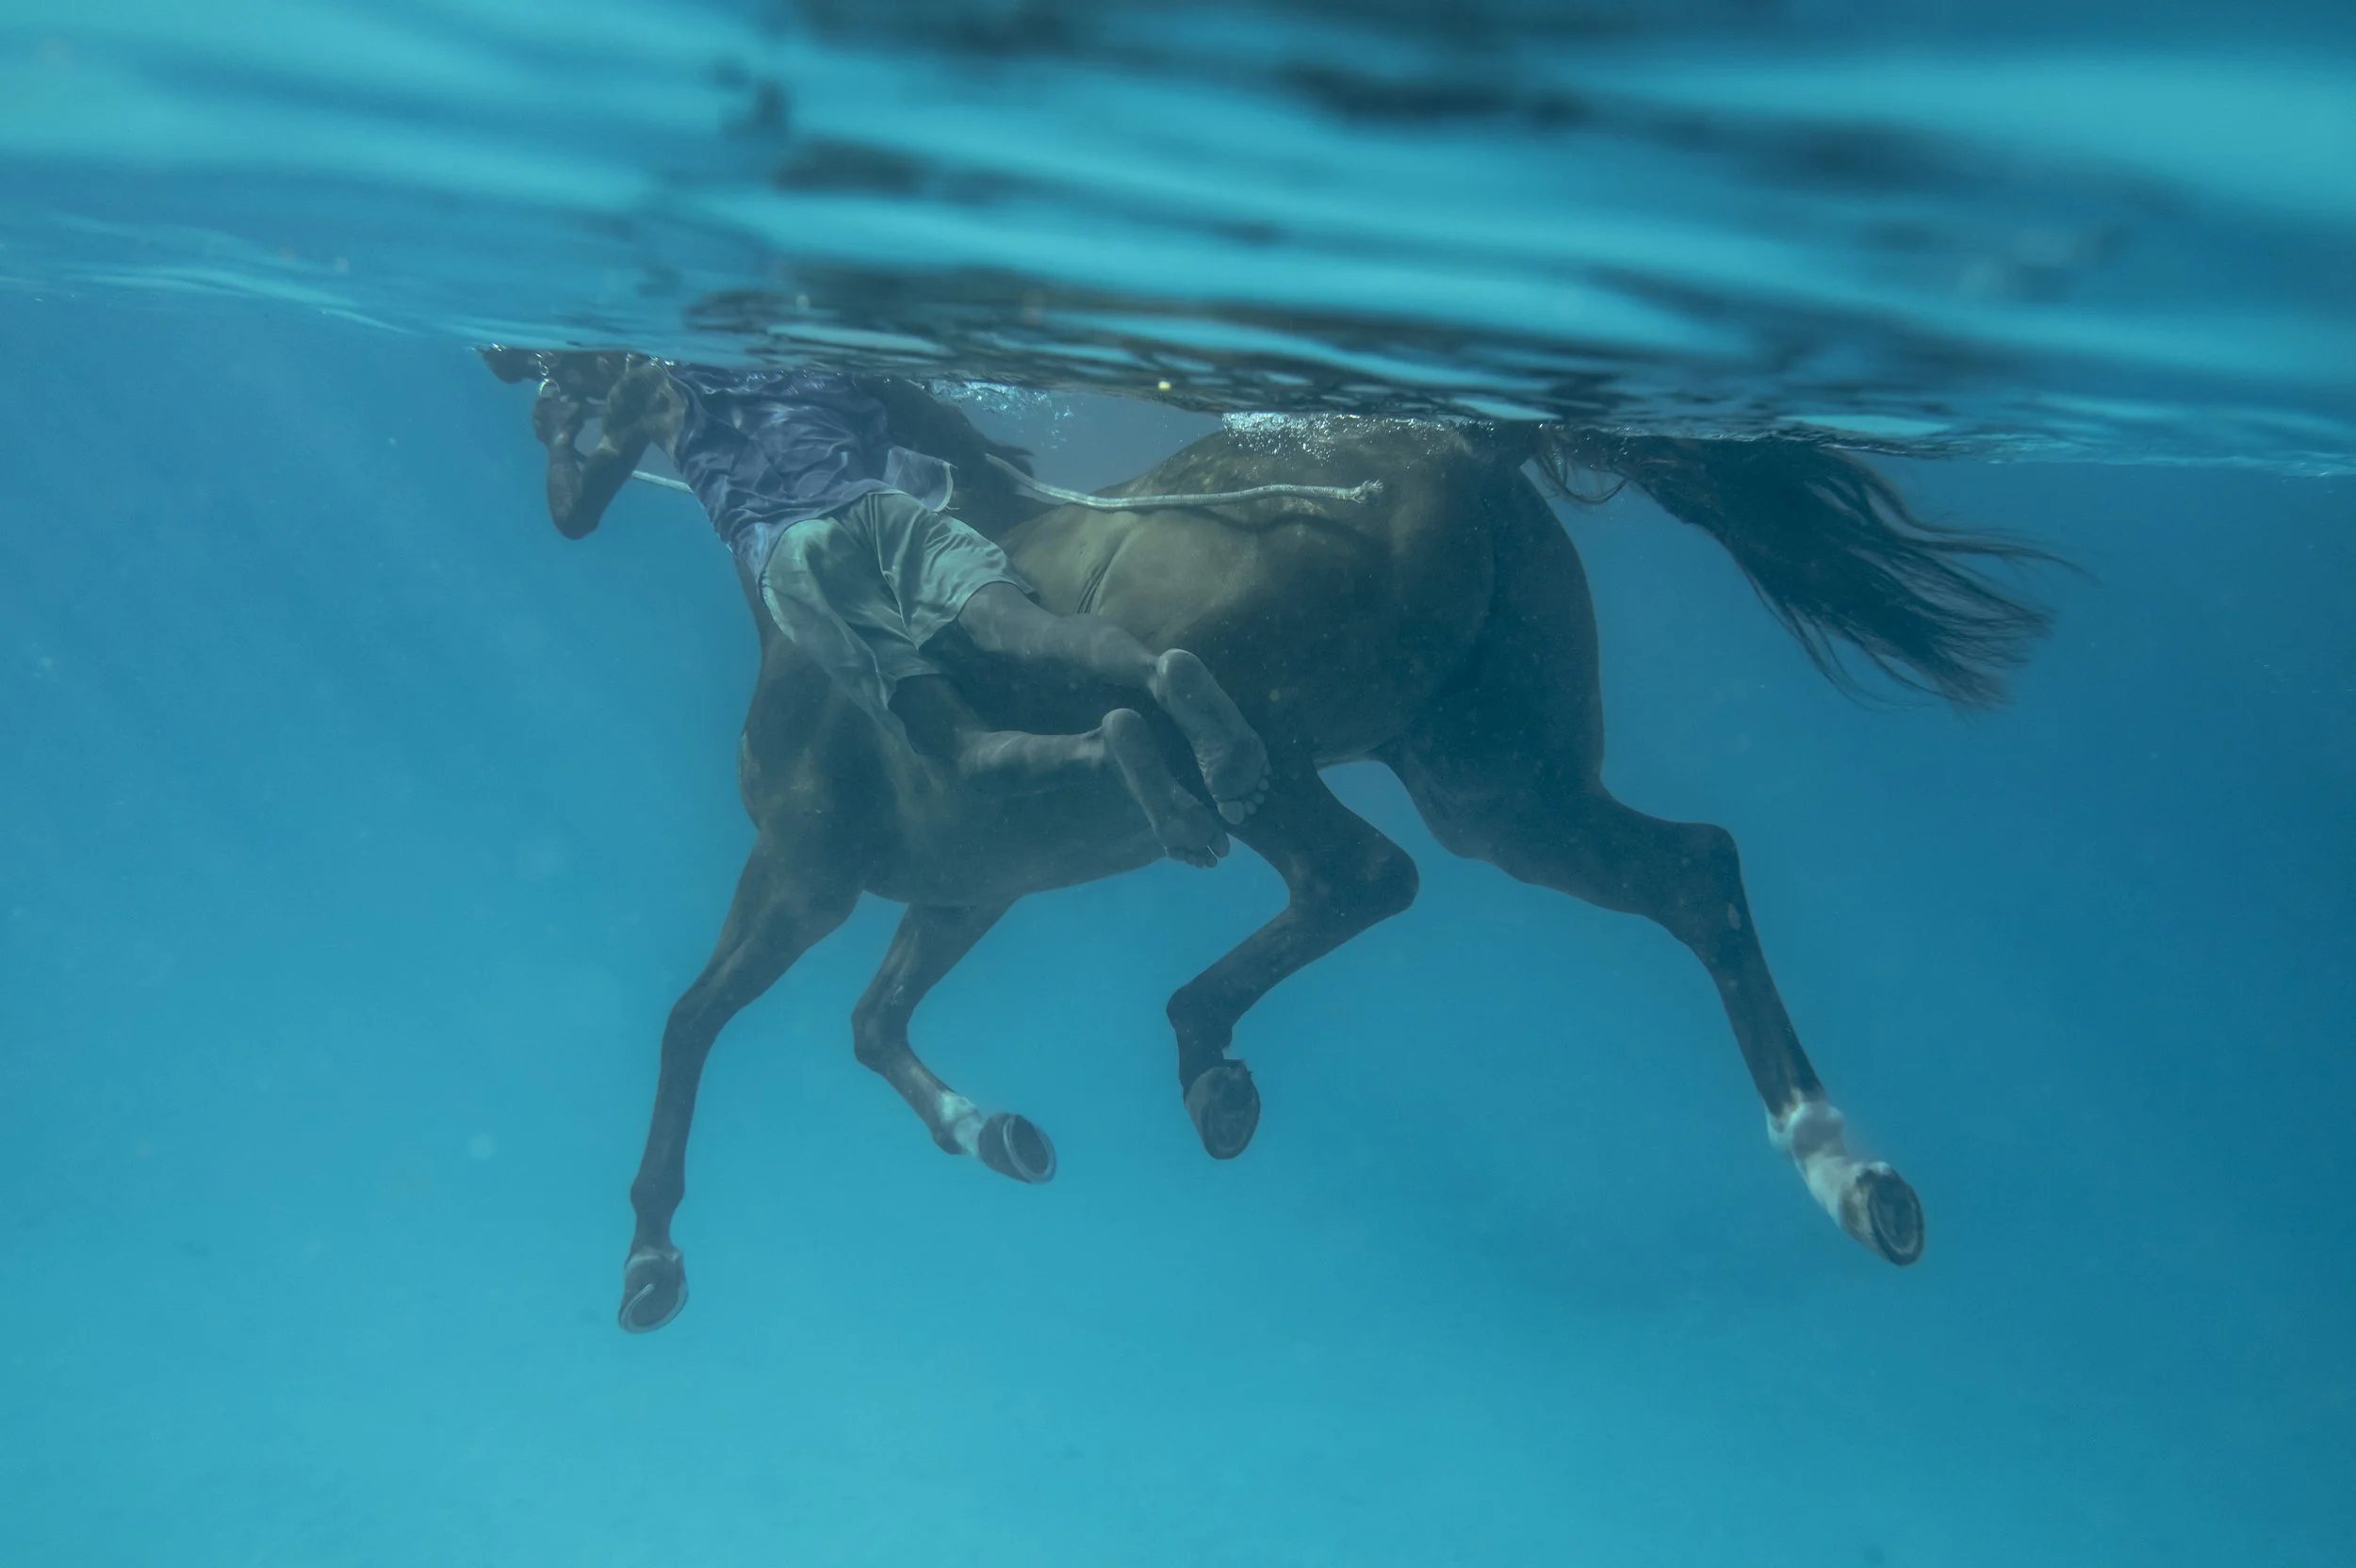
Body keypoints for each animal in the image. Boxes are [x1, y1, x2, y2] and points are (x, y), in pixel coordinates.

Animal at [593, 391, 2053, 1332]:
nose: (567, 495)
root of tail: (1473, 436)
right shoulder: (965, 890)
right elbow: (868, 1019)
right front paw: (999, 1131)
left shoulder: (802, 879)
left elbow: (692, 1021)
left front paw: (651, 1255)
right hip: (1499, 787)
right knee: (1689, 869)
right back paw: (1850, 1173)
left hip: (1285, 744)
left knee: (1359, 871)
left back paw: (1209, 1054)